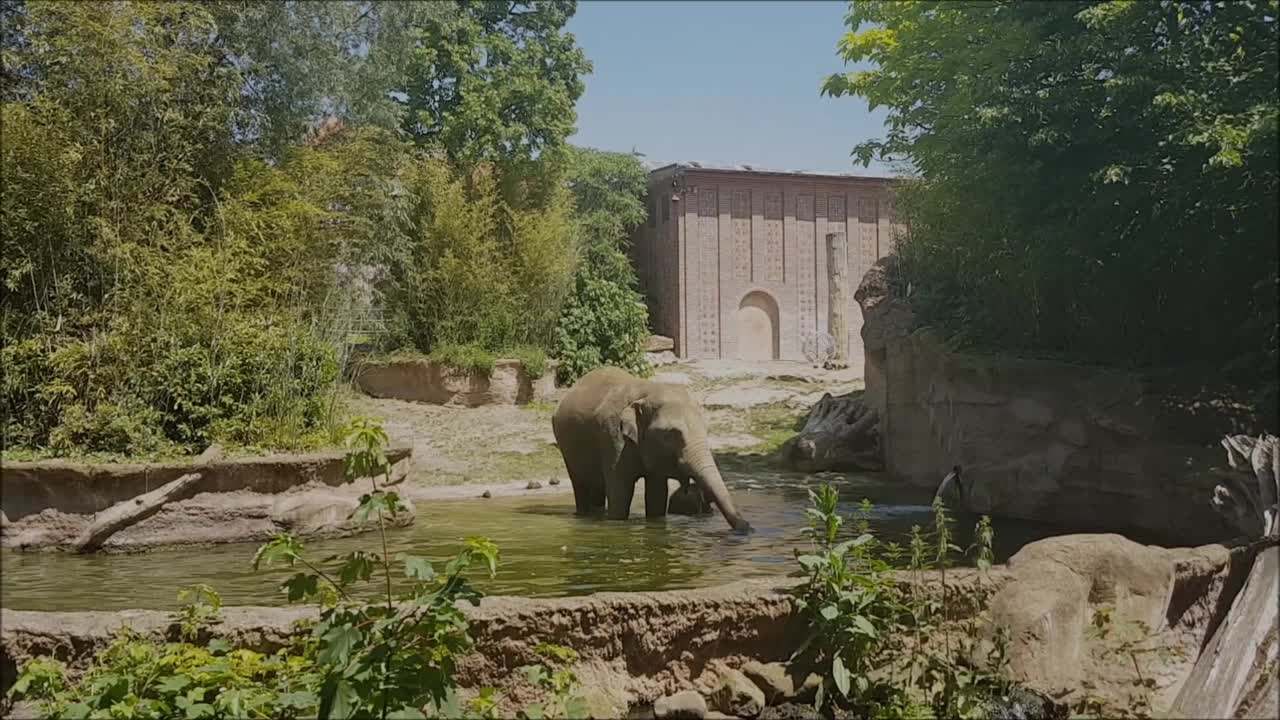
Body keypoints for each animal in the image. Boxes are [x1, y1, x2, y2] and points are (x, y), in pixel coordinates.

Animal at [550, 366, 747, 530]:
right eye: (671, 434)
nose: (747, 529)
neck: (648, 390)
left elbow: (657, 495)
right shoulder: (612, 437)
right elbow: (620, 493)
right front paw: (616, 522)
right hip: (565, 445)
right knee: (580, 485)